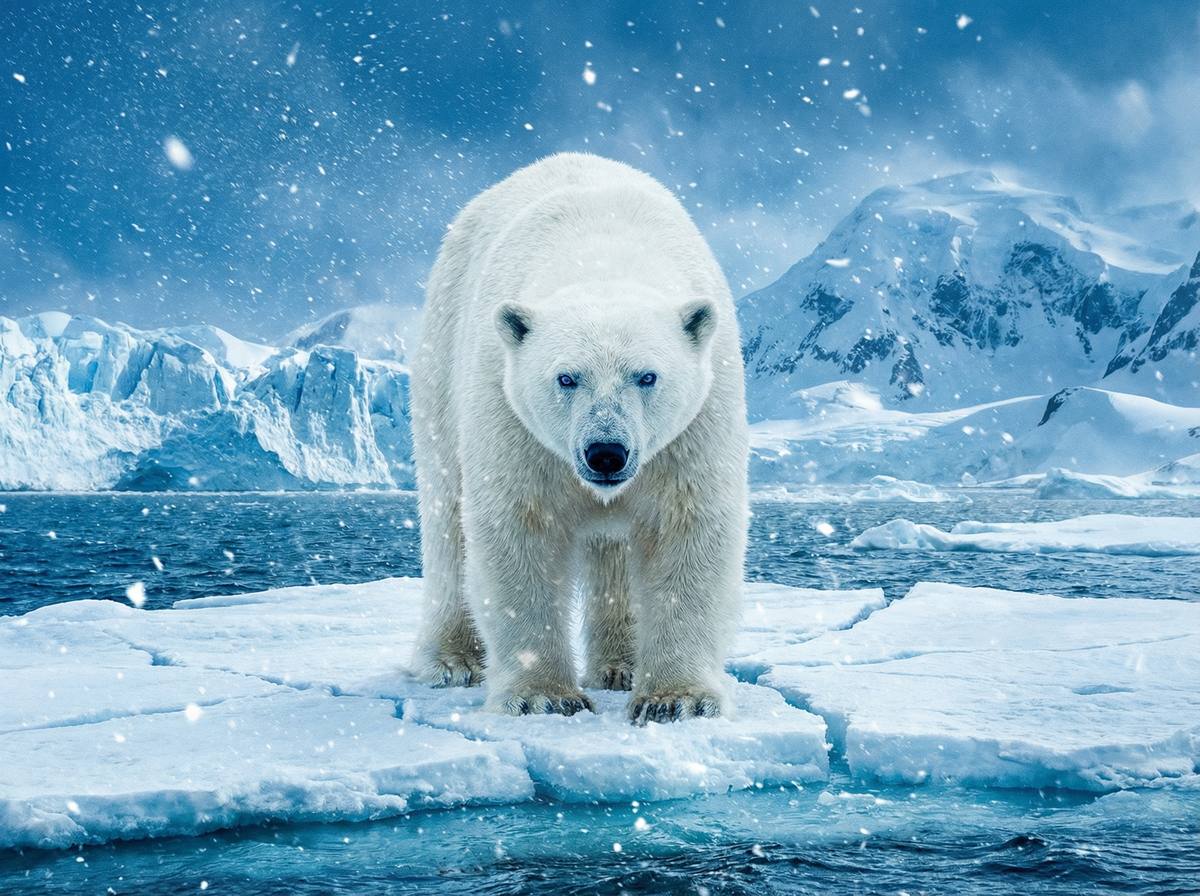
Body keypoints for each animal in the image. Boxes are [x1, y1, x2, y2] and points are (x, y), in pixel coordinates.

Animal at [410, 153, 748, 724]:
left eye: (647, 376)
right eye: (566, 377)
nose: (606, 453)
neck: (603, 259)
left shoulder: (697, 425)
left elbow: (689, 528)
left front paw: (676, 699)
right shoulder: (509, 415)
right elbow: (518, 528)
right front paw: (543, 695)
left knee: (611, 553)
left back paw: (620, 665)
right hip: (442, 356)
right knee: (446, 516)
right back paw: (452, 660)